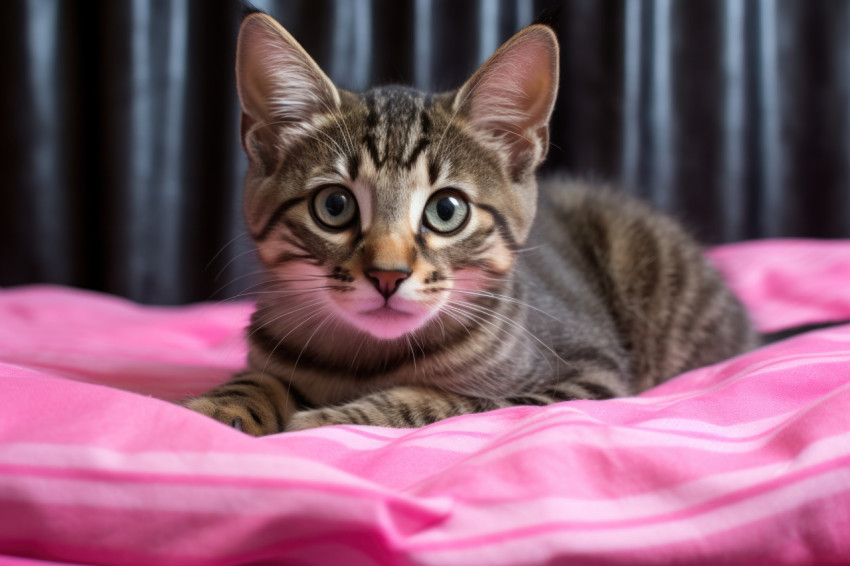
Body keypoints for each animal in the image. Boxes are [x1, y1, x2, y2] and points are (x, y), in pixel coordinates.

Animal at [184, 14, 756, 440]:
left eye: (446, 211)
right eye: (335, 205)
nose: (388, 275)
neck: (367, 360)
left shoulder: (590, 376)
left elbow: (454, 402)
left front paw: (329, 418)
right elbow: (257, 378)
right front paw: (217, 407)